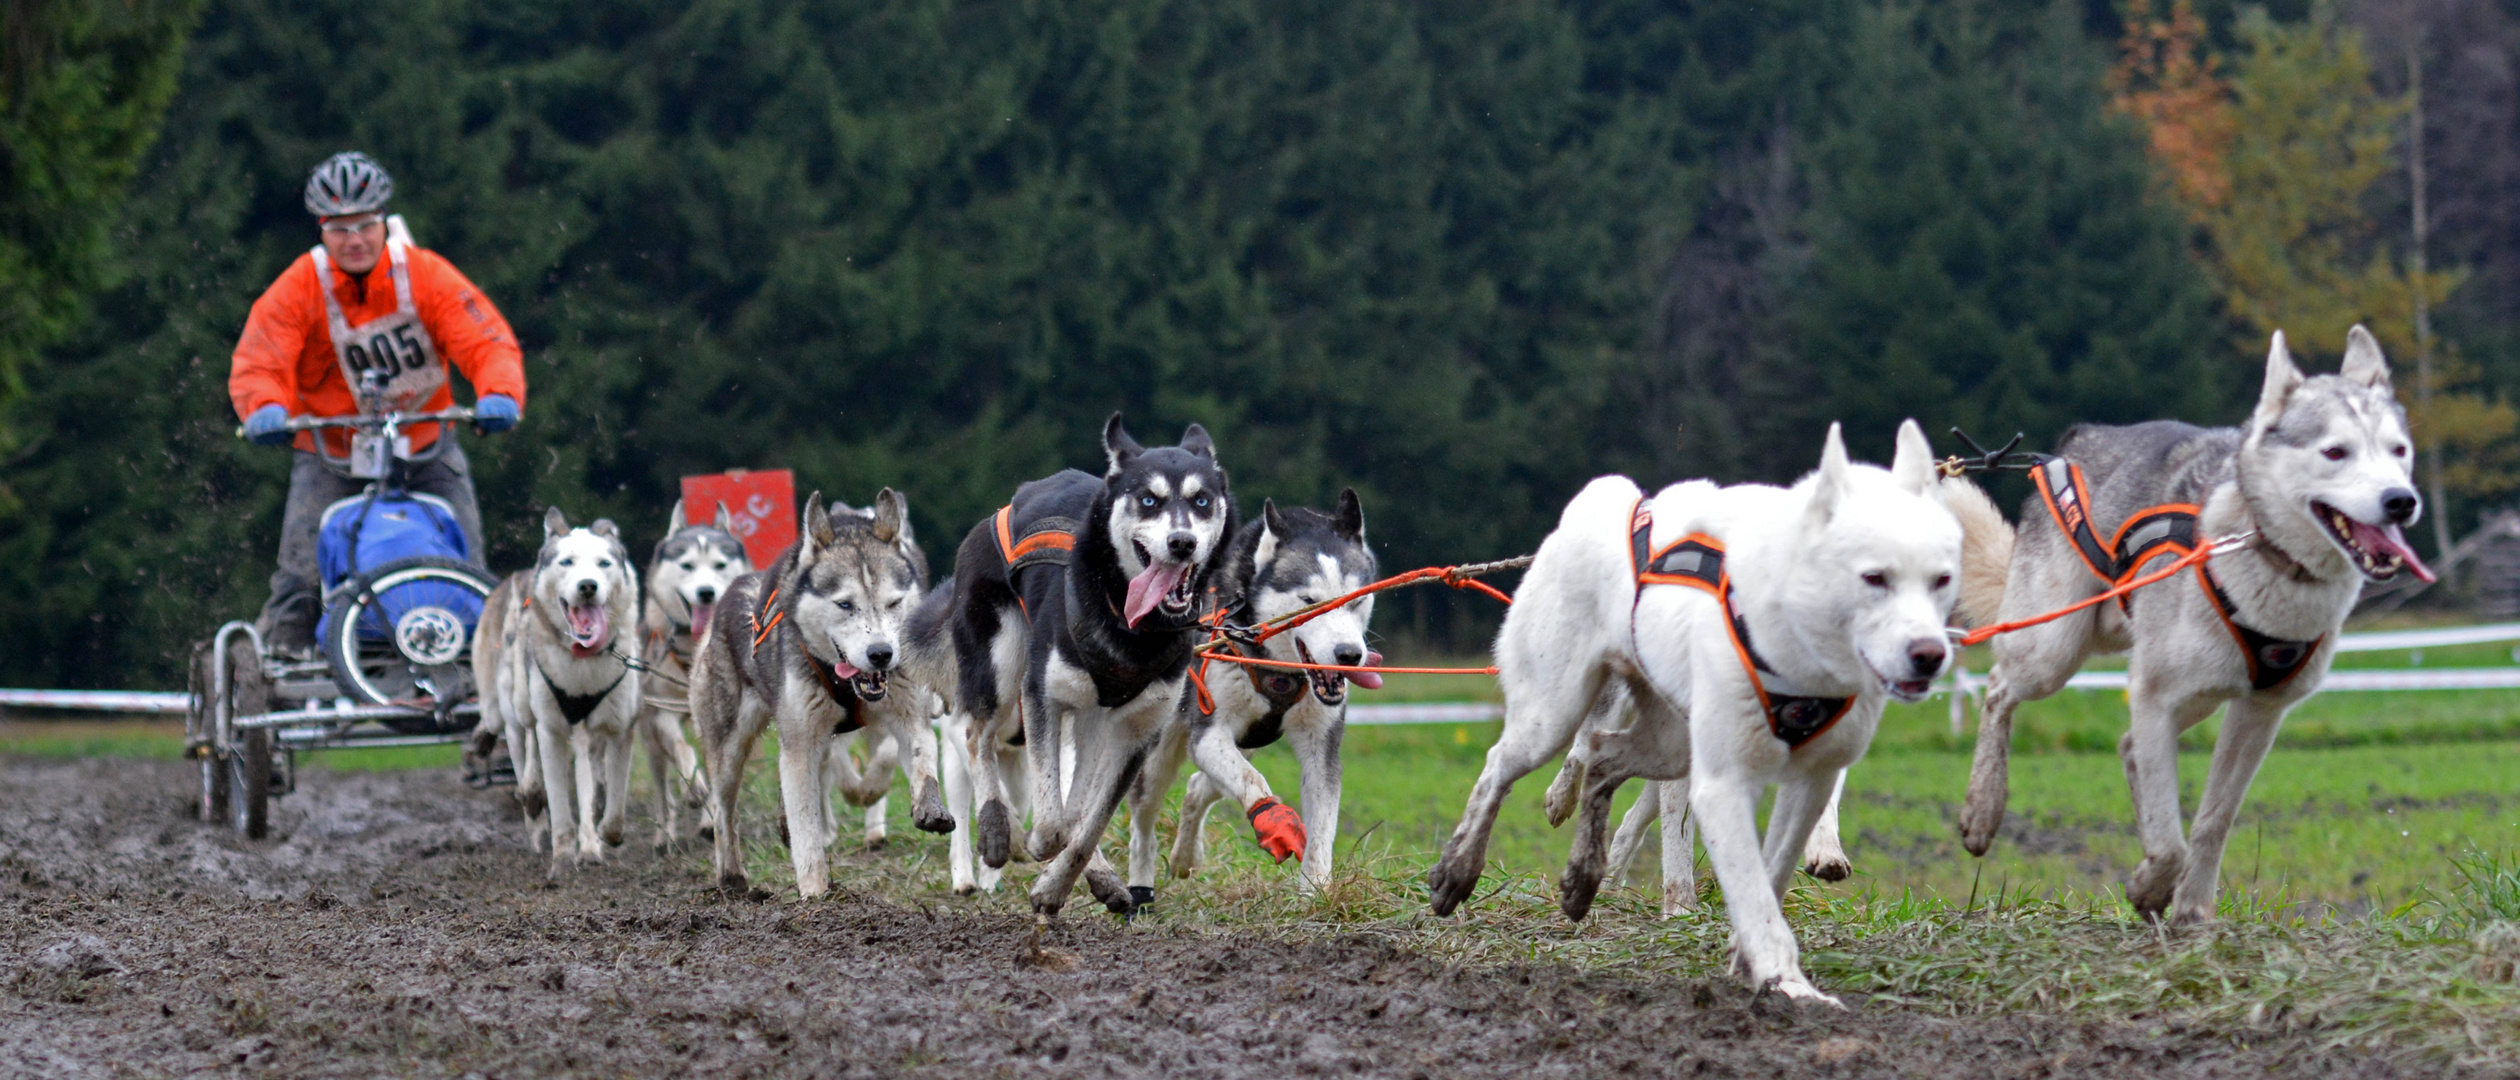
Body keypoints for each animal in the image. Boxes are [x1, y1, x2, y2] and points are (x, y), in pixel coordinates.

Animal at [473, 508, 645, 871]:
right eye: (567, 562)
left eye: (604, 563)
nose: (588, 585)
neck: (583, 663)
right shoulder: (550, 729)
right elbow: (558, 801)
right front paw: (563, 857)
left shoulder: (619, 728)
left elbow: (612, 805)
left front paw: (600, 839)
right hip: (511, 708)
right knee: (521, 743)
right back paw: (529, 796)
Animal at [630, 495, 745, 840]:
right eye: (687, 566)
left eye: (720, 565)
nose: (706, 592)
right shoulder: (663, 714)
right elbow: (683, 750)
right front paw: (693, 788)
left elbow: (716, 769)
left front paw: (712, 815)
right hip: (649, 736)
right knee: (661, 787)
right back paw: (664, 834)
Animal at [1441, 420, 1965, 1001]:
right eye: (1874, 577)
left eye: (1941, 578)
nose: (1929, 654)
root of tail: (1616, 504)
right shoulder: (1719, 781)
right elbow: (1730, 870)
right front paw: (1780, 977)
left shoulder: (1817, 773)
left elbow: (1773, 870)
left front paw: (1757, 948)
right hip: (1553, 715)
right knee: (1516, 763)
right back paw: (1465, 865)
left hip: (1668, 742)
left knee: (1604, 758)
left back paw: (1584, 875)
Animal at [1955, 324, 2429, 921]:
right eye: (2335, 452)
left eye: (2398, 451)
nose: (2401, 501)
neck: (2268, 560)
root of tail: (2074, 443)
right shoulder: (2154, 695)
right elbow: (2170, 838)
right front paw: (2152, 887)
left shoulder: (2259, 712)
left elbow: (2211, 822)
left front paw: (2191, 911)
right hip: (2053, 649)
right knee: (1998, 689)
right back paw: (1983, 809)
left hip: (2187, 688)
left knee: (2127, 747)